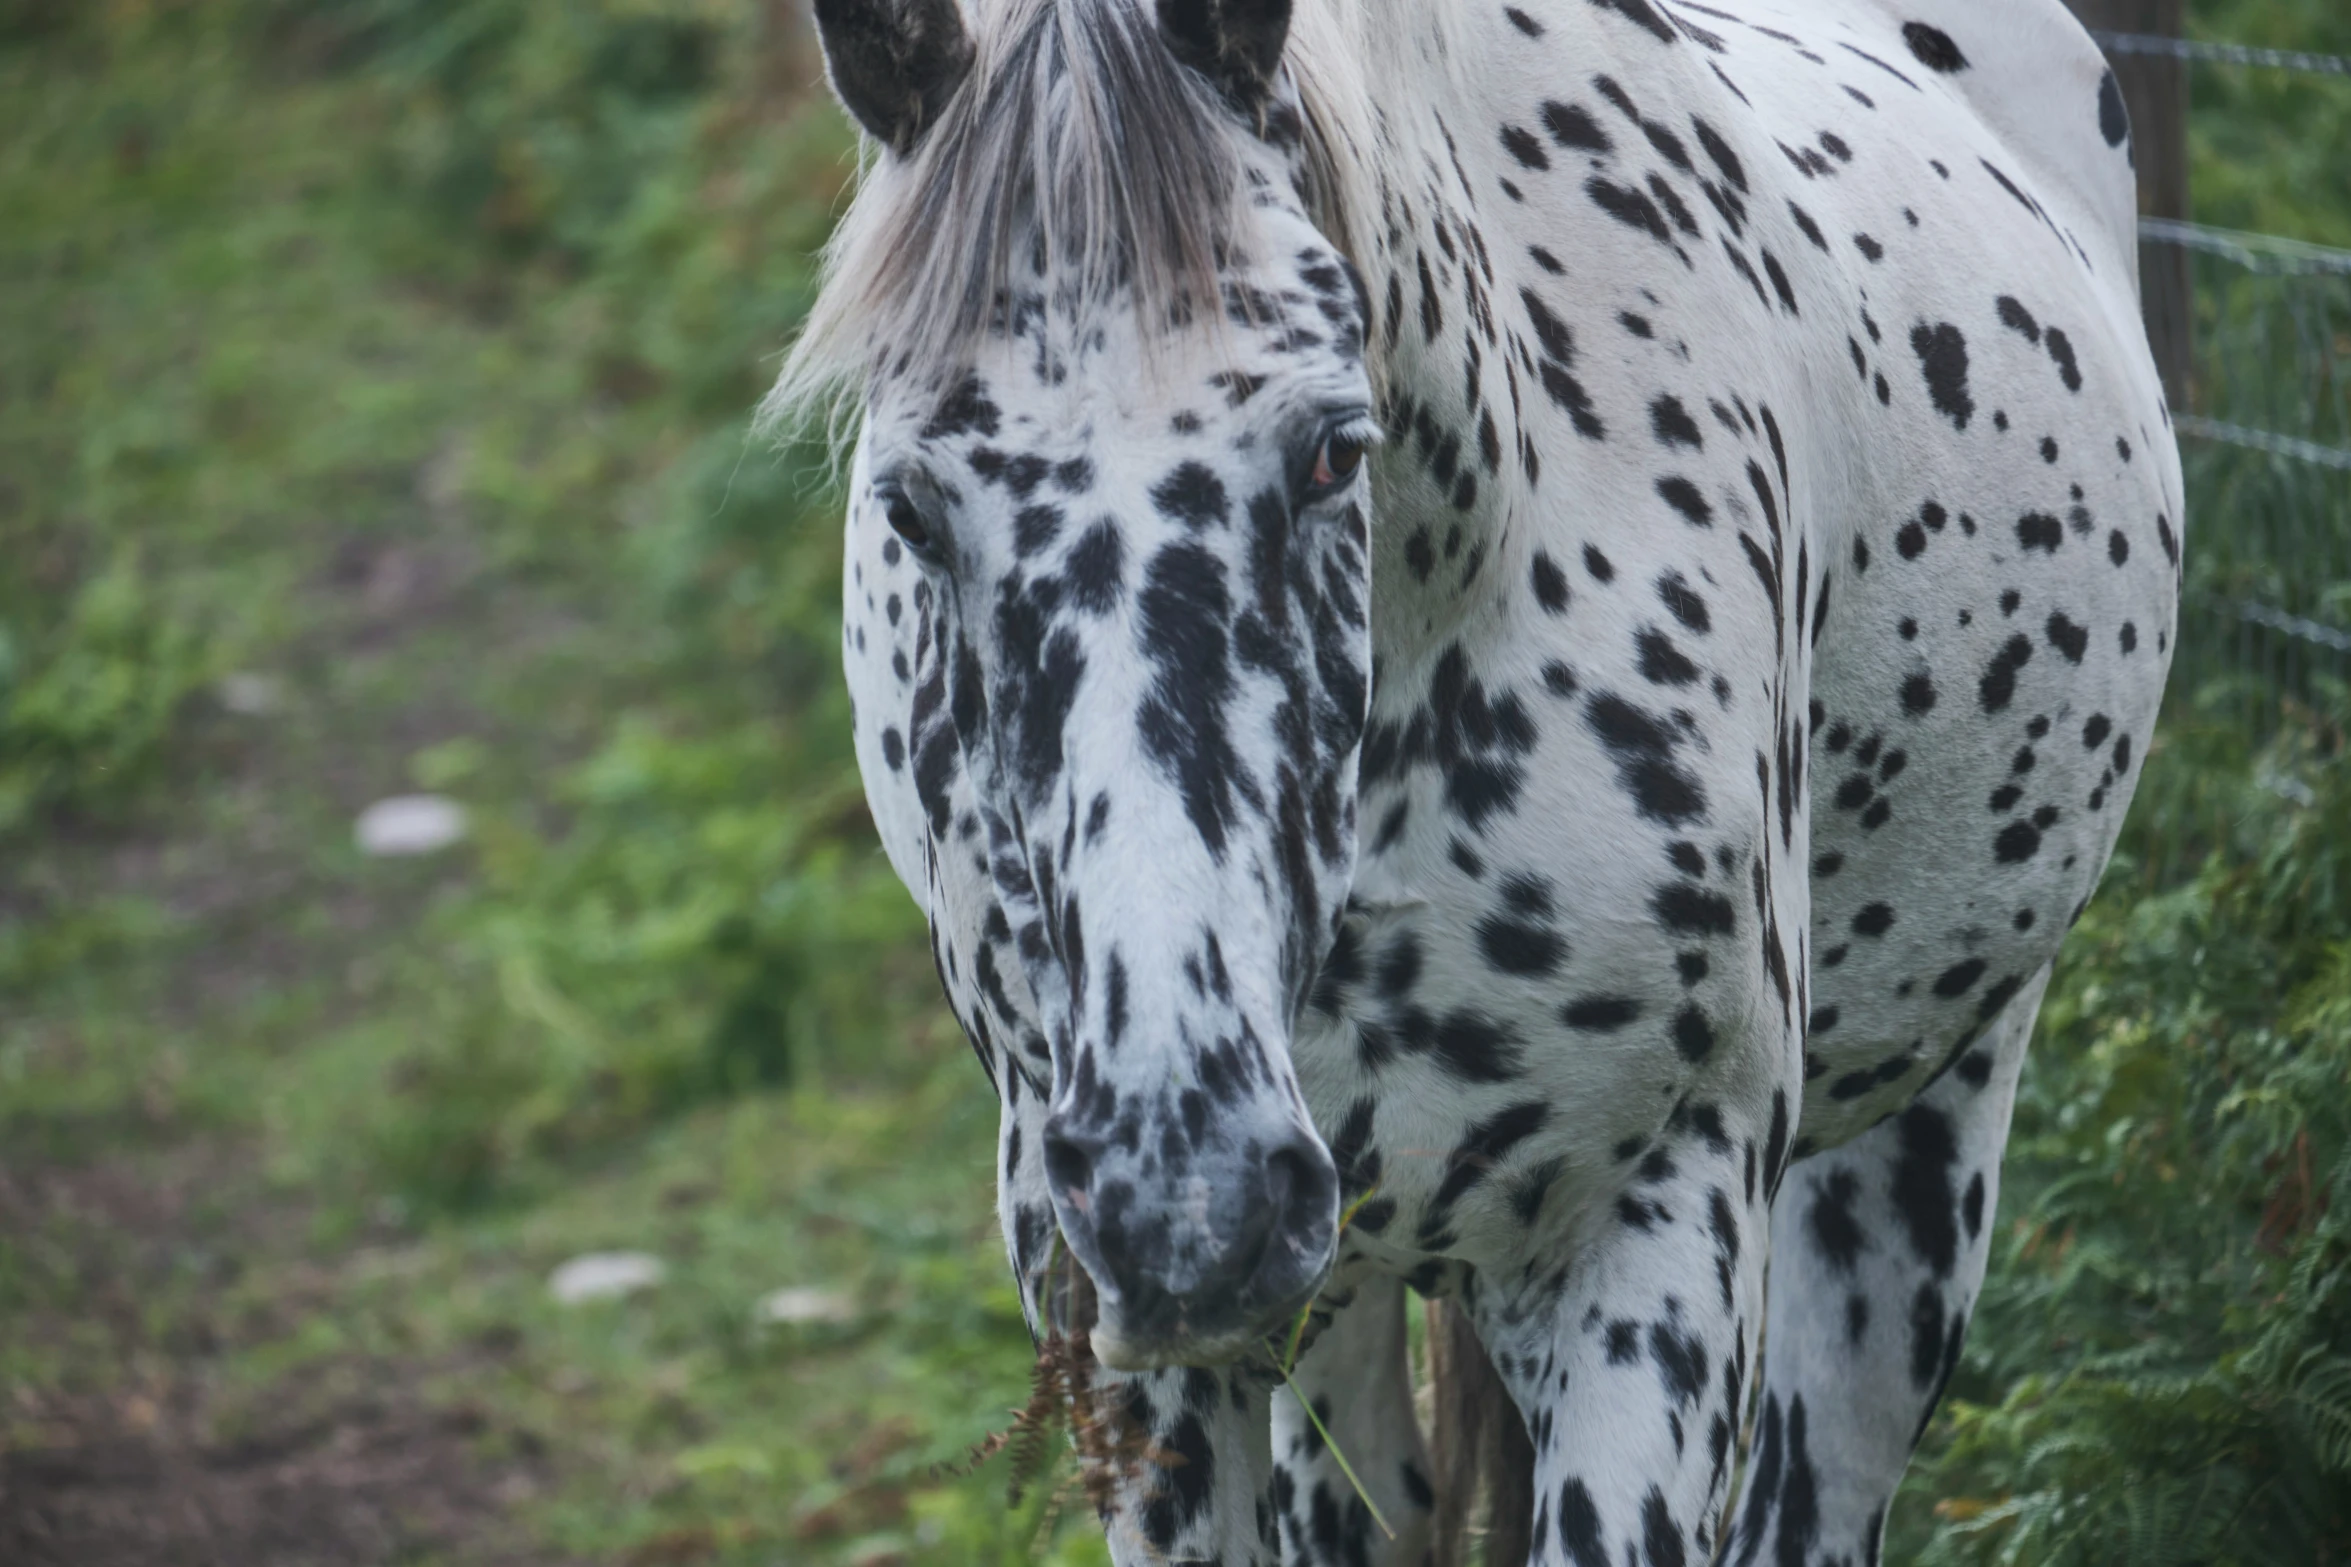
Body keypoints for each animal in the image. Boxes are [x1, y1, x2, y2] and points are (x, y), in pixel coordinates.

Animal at [775, 0, 2181, 1559]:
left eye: (1333, 449)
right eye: (909, 506)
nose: (1185, 1199)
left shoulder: (1653, 1233)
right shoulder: (1132, 1338)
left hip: (1915, 1158)